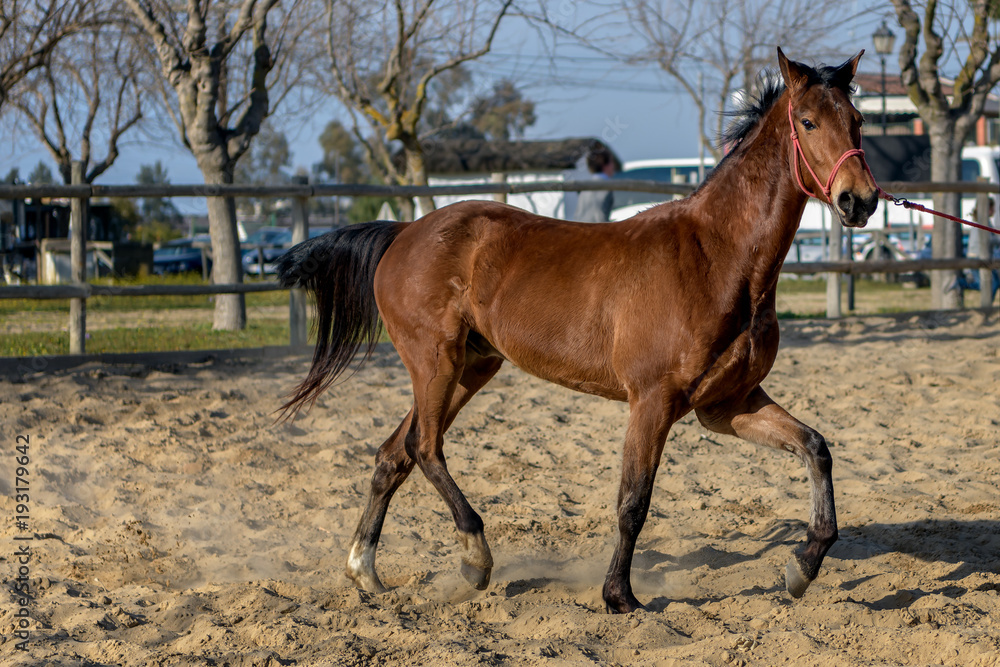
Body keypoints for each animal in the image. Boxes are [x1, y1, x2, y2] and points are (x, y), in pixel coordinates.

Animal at [275, 48, 879, 614]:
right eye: (807, 121)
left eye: (857, 120)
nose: (860, 200)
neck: (717, 256)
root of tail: (405, 232)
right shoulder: (653, 400)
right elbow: (633, 502)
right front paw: (620, 597)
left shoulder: (727, 405)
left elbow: (815, 448)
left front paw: (803, 566)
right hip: (435, 362)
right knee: (425, 448)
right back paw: (474, 559)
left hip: (472, 366)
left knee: (393, 454)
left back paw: (367, 572)